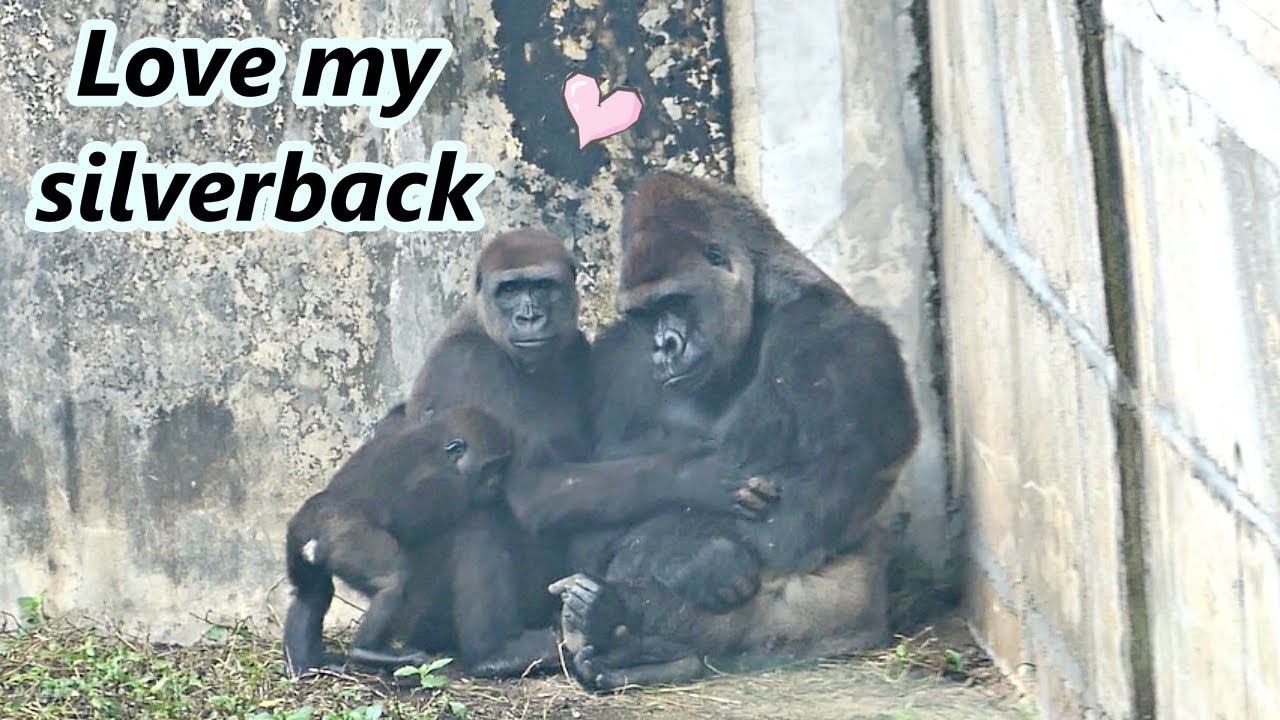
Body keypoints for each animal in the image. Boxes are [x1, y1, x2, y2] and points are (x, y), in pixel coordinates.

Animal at [281, 403, 512, 677]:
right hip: (346, 537)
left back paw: (305, 666)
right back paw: (366, 651)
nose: (496, 484)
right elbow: (407, 520)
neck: (436, 439)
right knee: (392, 582)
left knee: (311, 594)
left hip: (297, 535)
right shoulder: (447, 484)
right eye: (490, 468)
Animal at [539, 171, 921, 690]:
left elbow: (811, 503)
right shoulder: (612, 358)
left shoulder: (842, 338)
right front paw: (693, 560)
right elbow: (591, 516)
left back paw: (625, 622)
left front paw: (688, 562)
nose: (664, 345)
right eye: (644, 314)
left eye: (675, 301)